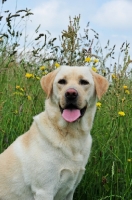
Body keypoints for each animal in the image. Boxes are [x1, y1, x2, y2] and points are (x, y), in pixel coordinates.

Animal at [0, 66, 108, 200]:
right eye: (62, 81)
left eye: (84, 82)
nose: (70, 94)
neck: (71, 134)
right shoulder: (44, 190)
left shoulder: (70, 191)